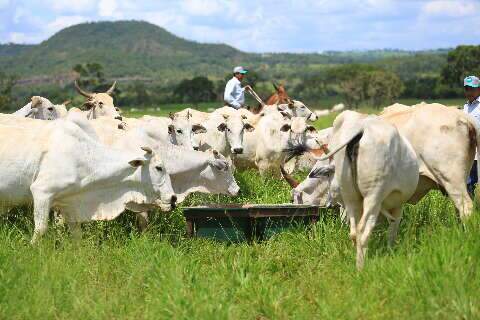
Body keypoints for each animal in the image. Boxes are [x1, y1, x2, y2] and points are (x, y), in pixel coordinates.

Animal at [0, 115, 174, 242]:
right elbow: (41, 229)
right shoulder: (42, 192)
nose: (173, 198)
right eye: (159, 168)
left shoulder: (69, 205)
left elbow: (77, 236)